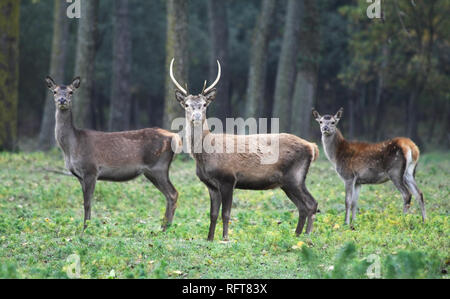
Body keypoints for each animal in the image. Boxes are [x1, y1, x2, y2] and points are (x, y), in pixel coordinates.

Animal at [44, 76, 180, 233]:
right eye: (54, 91)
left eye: (71, 92)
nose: (62, 100)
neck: (71, 147)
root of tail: (174, 136)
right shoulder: (79, 176)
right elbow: (85, 202)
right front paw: (85, 228)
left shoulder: (91, 169)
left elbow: (87, 203)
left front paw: (85, 230)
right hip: (152, 171)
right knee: (169, 195)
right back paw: (163, 228)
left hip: (158, 166)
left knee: (173, 193)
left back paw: (165, 229)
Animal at [169, 59, 320, 243]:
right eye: (187, 104)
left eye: (204, 104)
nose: (196, 116)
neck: (204, 155)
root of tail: (312, 147)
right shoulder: (211, 185)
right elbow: (212, 214)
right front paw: (209, 239)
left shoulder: (228, 178)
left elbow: (226, 214)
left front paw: (225, 238)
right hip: (287, 182)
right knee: (303, 206)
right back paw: (297, 236)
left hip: (295, 177)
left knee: (312, 204)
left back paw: (307, 236)